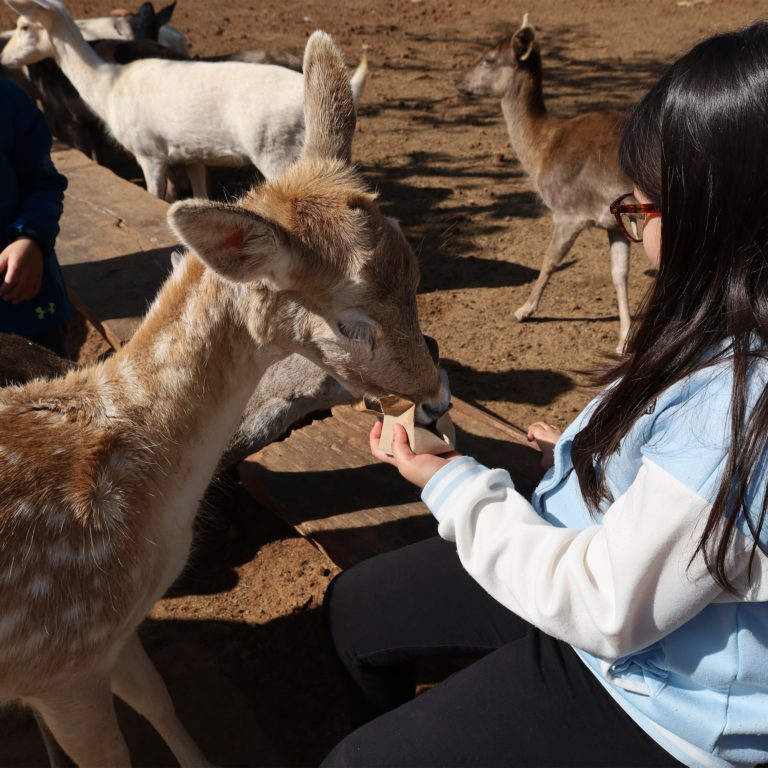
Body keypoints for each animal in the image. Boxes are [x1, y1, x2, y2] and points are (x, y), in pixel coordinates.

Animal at [0, 30, 450, 768]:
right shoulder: (64, 660)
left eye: (416, 272)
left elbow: (160, 701)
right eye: (352, 318)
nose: (435, 397)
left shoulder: (115, 636)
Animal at [2, 0, 368, 201]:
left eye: (23, 26)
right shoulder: (191, 153)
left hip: (278, 152)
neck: (107, 88)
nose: (4, 57)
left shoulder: (148, 151)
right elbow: (197, 194)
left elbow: (154, 196)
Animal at [460, 15, 632, 352]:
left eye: (489, 58)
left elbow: (550, 259)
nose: (458, 81)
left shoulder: (569, 212)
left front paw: (522, 310)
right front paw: (623, 341)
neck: (542, 151)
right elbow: (619, 273)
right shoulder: (613, 222)